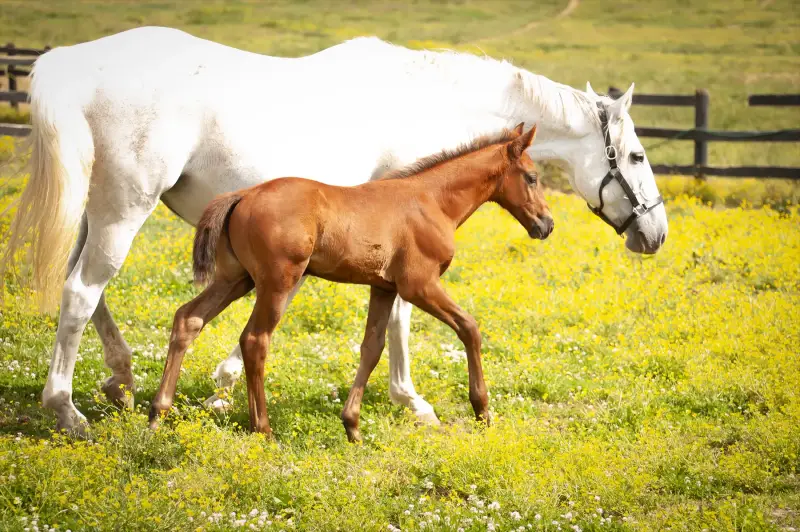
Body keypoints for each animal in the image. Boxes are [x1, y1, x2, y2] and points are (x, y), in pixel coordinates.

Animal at [149, 124, 550, 441]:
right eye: (531, 178)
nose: (546, 224)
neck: (431, 201)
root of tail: (242, 194)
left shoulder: (384, 287)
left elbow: (372, 348)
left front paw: (352, 426)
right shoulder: (418, 284)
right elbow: (469, 327)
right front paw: (482, 410)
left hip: (236, 278)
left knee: (188, 318)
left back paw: (157, 413)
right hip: (277, 281)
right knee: (254, 340)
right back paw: (262, 429)